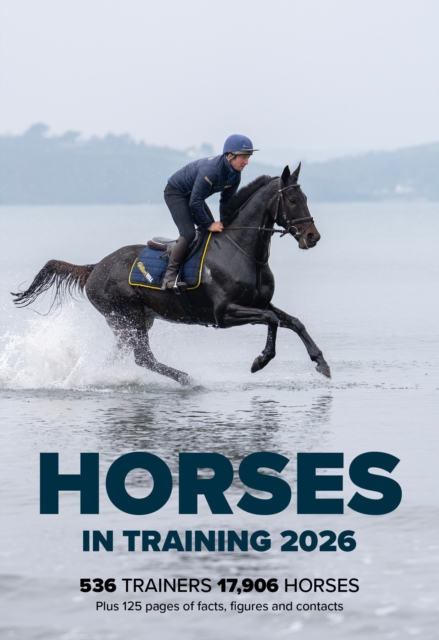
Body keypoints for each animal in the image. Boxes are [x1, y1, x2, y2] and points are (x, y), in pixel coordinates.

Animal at [12, 164, 331, 384]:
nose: (313, 236)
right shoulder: (224, 313)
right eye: (292, 200)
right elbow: (272, 320)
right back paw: (187, 379)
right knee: (143, 357)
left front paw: (321, 362)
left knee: (121, 355)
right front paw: (260, 361)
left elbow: (293, 321)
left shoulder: (258, 302)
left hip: (132, 321)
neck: (242, 250)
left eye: (304, 196)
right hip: (127, 314)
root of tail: (95, 267)